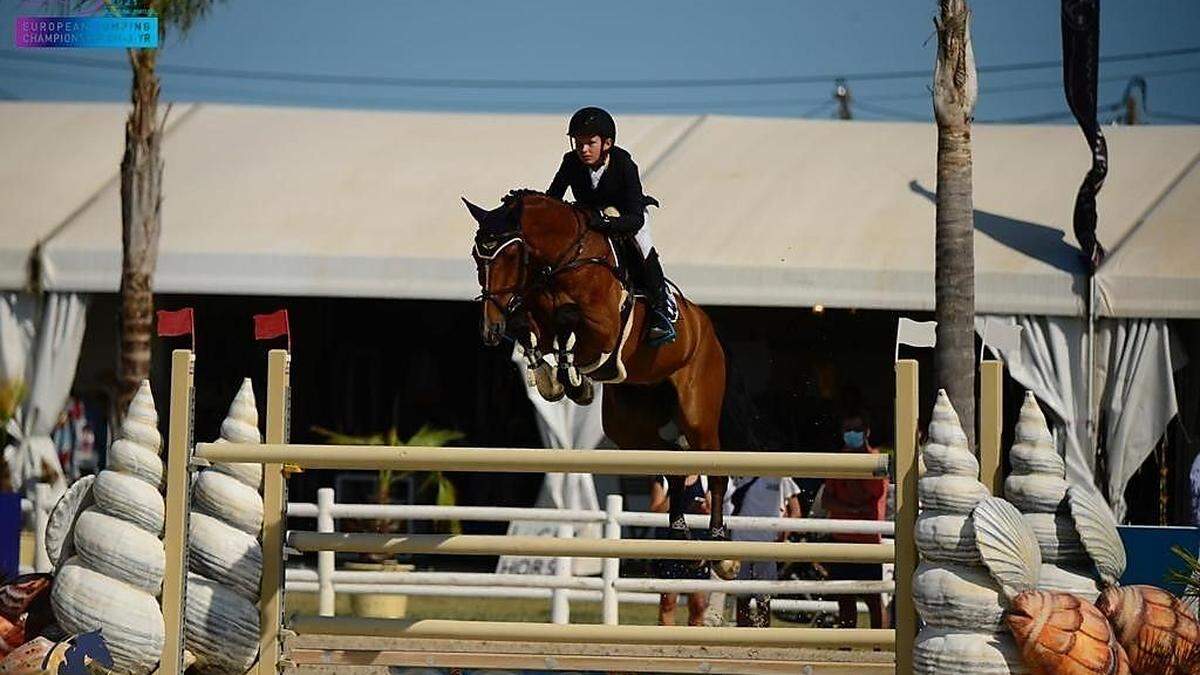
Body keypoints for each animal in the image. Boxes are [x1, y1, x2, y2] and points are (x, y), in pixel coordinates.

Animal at [463, 189, 734, 578]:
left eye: (511, 255)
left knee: (714, 467)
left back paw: (719, 546)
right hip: (628, 426)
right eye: (476, 256)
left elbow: (568, 318)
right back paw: (681, 538)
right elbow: (530, 327)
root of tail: (705, 326)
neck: (562, 261)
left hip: (698, 412)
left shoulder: (603, 326)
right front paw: (556, 379)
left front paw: (573, 376)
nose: (489, 329)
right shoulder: (534, 314)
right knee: (672, 461)